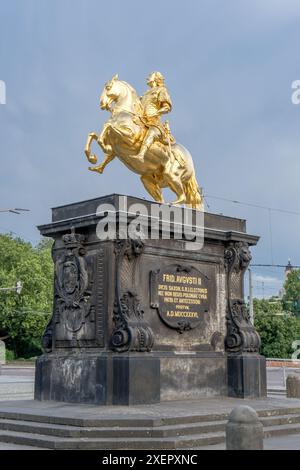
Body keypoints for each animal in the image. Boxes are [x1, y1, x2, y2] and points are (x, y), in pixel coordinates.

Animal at [84, 74, 204, 209]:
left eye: (108, 87)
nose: (102, 104)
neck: (125, 114)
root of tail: (190, 161)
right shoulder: (115, 147)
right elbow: (93, 135)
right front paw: (93, 159)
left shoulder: (129, 137)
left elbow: (108, 126)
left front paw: (104, 147)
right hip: (149, 179)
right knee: (161, 198)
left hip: (172, 175)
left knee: (182, 197)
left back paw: (170, 204)